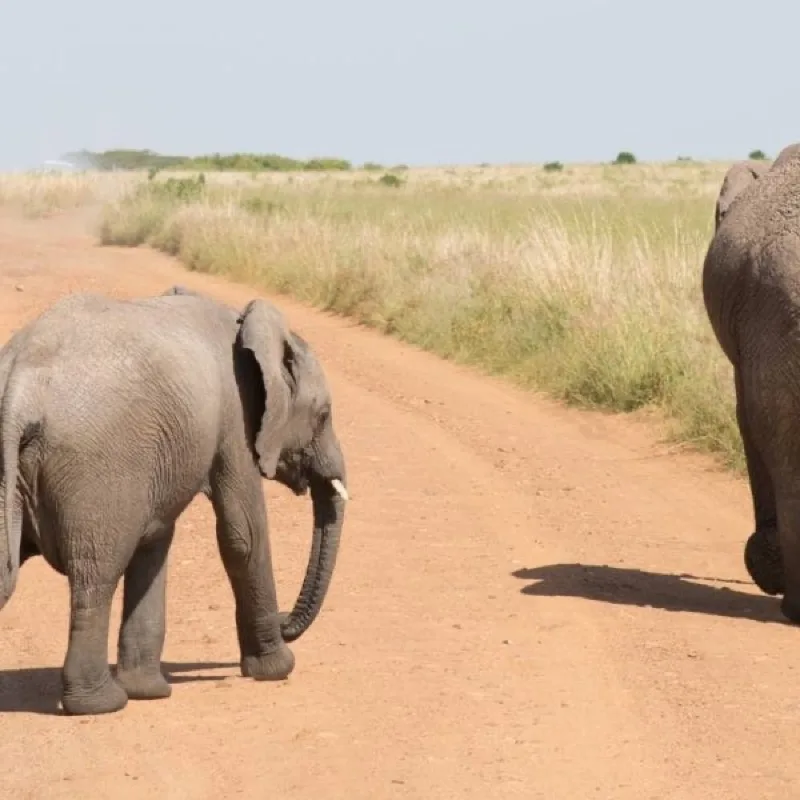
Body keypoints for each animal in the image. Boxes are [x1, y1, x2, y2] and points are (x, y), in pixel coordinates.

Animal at [0, 286, 348, 715]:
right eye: (324, 414)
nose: (286, 621)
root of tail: (20, 383)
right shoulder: (235, 414)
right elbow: (243, 534)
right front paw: (277, 668)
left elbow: (155, 541)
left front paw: (150, 691)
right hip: (96, 468)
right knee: (96, 576)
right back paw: (101, 704)